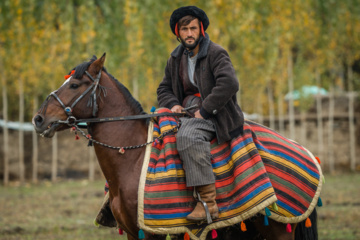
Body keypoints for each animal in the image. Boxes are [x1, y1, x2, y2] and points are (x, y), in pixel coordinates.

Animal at [32, 54, 316, 240]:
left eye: (74, 85)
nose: (38, 119)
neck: (133, 159)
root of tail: (304, 151)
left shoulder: (150, 232)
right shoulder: (133, 233)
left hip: (277, 229)